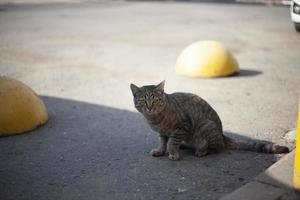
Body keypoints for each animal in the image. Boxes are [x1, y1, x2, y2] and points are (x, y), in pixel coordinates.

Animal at [130, 80, 290, 160]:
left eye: (155, 100)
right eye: (143, 101)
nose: (150, 107)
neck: (155, 119)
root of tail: (222, 135)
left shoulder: (182, 127)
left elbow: (173, 142)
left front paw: (173, 153)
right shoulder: (163, 133)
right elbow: (163, 142)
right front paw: (160, 151)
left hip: (206, 127)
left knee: (217, 148)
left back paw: (202, 151)